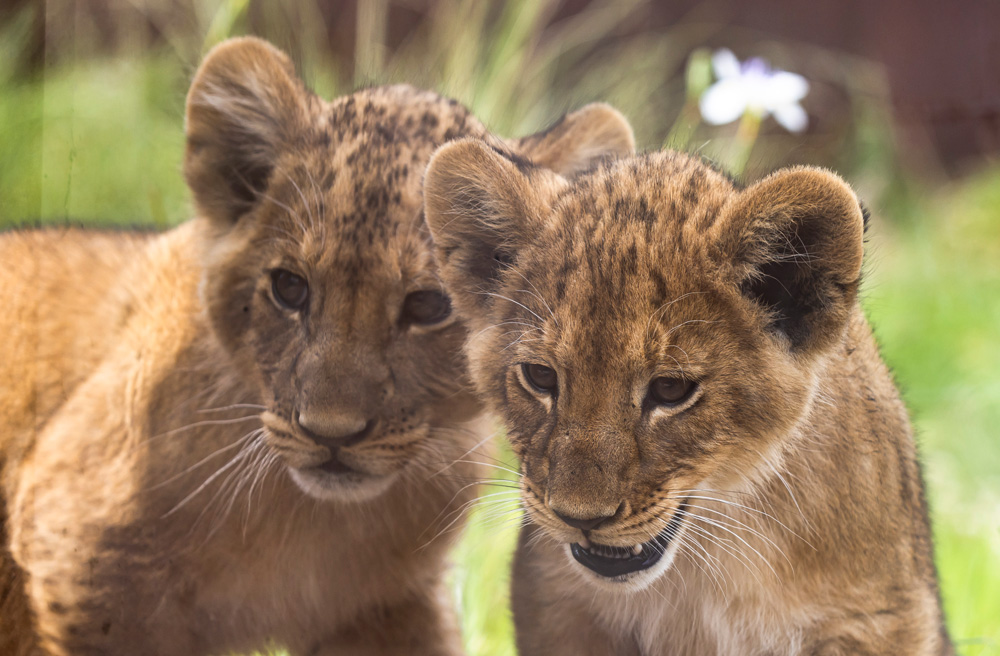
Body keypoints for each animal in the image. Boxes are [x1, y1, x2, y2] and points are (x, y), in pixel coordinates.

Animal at [0, 37, 634, 655]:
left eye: (428, 306)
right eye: (290, 288)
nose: (330, 434)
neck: (315, 525)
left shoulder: (387, 607)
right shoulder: (80, 557)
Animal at [423, 143, 953, 655]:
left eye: (670, 389)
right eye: (539, 376)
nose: (579, 519)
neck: (705, 567)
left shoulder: (879, 618)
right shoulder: (558, 608)